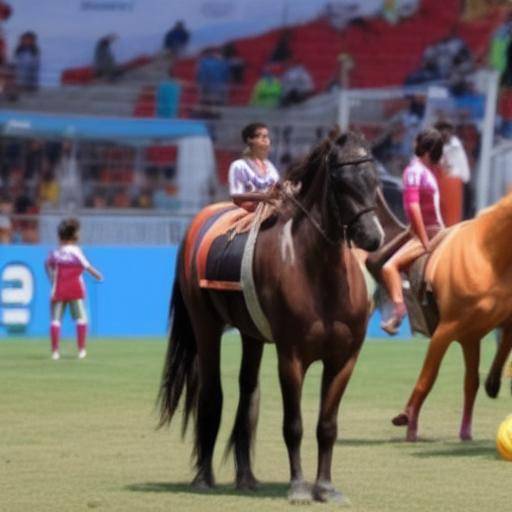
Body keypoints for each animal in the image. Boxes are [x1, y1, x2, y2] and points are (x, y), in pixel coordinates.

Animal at [156, 130, 384, 502]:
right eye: (340, 180)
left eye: (373, 178)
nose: (372, 235)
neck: (318, 274)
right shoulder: (290, 357)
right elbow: (293, 426)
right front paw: (299, 487)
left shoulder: (344, 359)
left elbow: (327, 426)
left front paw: (325, 487)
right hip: (206, 327)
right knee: (212, 394)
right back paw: (203, 476)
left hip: (252, 336)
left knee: (248, 392)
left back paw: (246, 476)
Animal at [374, 191, 512, 440]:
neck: (489, 255)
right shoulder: (445, 330)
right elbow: (427, 378)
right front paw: (408, 421)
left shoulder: (481, 331)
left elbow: (482, 371)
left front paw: (493, 382)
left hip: (470, 339)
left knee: (470, 382)